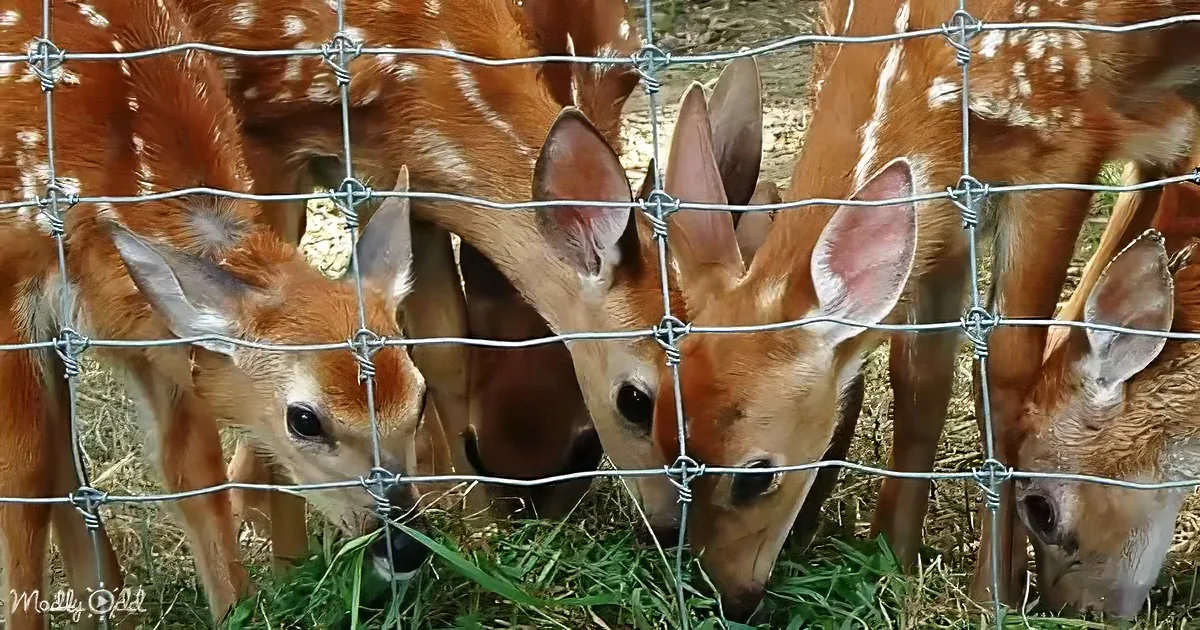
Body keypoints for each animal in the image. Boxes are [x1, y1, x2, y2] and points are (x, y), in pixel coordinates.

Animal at [0, 0, 433, 626]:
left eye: (421, 399)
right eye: (305, 420)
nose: (403, 546)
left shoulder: (152, 331)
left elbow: (191, 466)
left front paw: (236, 606)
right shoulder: (11, 277)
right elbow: (24, 475)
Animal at [645, 0, 1200, 619]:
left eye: (753, 479)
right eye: (661, 445)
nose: (729, 596)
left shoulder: (1065, 142)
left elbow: (1005, 376)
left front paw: (993, 593)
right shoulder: (943, 199)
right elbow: (917, 375)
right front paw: (891, 555)